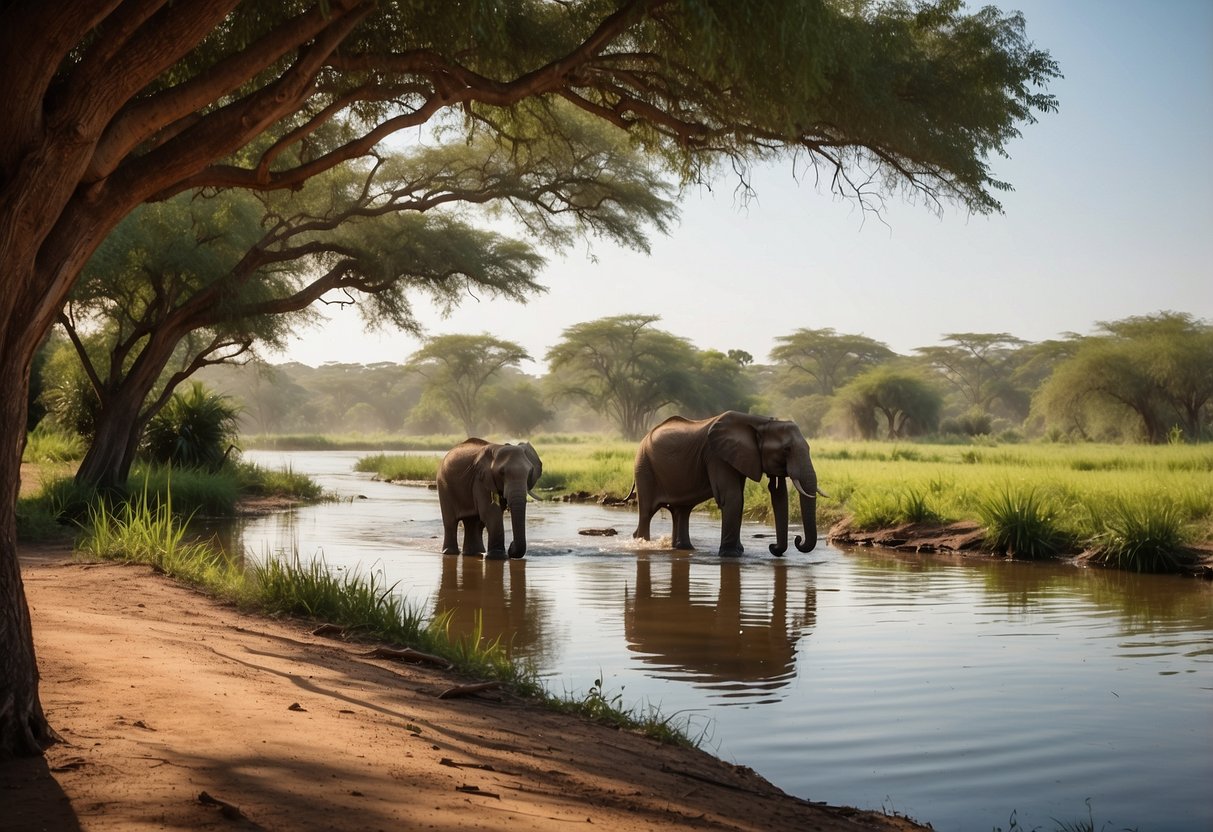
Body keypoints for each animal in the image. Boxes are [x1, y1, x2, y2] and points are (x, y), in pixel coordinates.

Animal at [630, 412, 819, 557]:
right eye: (786, 449)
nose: (773, 547)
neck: (761, 422)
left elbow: (759, 496)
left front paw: (738, 551)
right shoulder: (716, 455)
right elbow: (733, 497)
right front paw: (731, 555)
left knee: (682, 510)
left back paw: (684, 548)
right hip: (644, 467)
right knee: (647, 512)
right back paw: (641, 545)